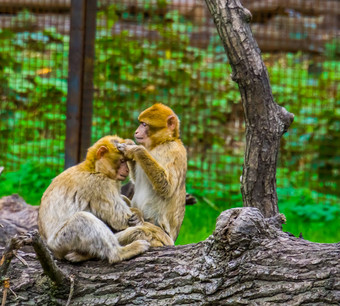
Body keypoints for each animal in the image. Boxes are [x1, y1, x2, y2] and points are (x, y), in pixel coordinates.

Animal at [36, 135, 150, 264]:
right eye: (121, 161)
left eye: (125, 161)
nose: (126, 170)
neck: (95, 169)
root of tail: (52, 249)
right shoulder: (99, 184)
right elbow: (119, 219)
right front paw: (138, 215)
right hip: (61, 242)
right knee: (82, 219)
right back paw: (119, 253)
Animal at [117, 103, 186, 241]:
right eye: (141, 123)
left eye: (144, 124)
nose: (136, 131)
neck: (161, 143)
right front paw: (129, 143)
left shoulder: (174, 152)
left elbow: (167, 187)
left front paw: (134, 149)